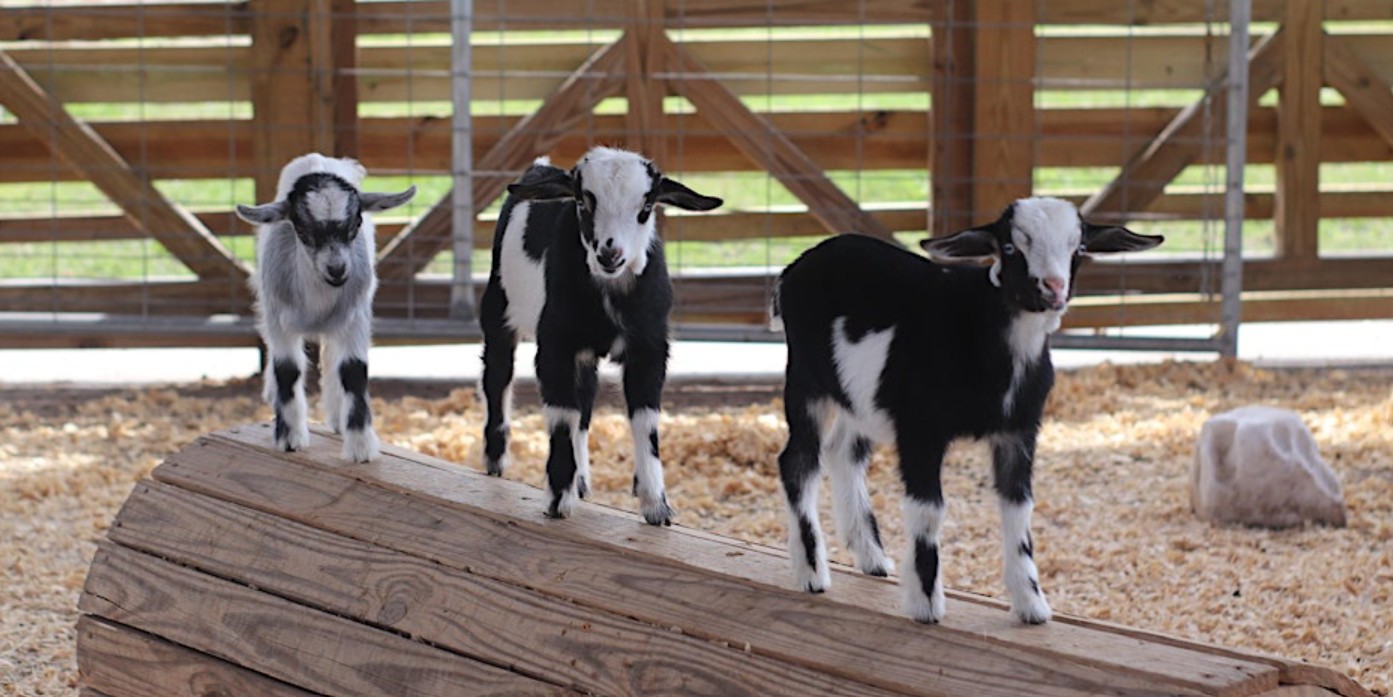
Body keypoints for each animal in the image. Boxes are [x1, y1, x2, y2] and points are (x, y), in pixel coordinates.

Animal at [236, 153, 416, 462]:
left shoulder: (355, 317)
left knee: (332, 359)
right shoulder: (278, 317)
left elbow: (353, 370)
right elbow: (287, 369)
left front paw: (361, 447)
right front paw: (289, 437)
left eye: (356, 223)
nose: (337, 269)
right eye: (301, 228)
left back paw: (336, 417)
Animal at [479, 147, 723, 524]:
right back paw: (495, 461)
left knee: (585, 399)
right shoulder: (555, 345)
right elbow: (562, 415)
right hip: (497, 305)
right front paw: (558, 499)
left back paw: (581, 480)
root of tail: (541, 167)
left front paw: (657, 506)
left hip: (585, 354)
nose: (610, 253)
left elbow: (644, 419)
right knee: (497, 376)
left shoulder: (650, 348)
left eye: (647, 205)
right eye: (582, 201)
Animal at [771, 197, 1162, 624]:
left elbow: (1019, 509)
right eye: (1010, 247)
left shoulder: (1018, 432)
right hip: (806, 380)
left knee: (843, 453)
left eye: (1079, 248)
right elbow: (929, 510)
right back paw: (812, 572)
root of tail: (792, 271)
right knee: (799, 461)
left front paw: (1032, 604)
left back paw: (871, 556)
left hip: (859, 398)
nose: (1053, 288)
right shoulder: (920, 429)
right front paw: (926, 604)